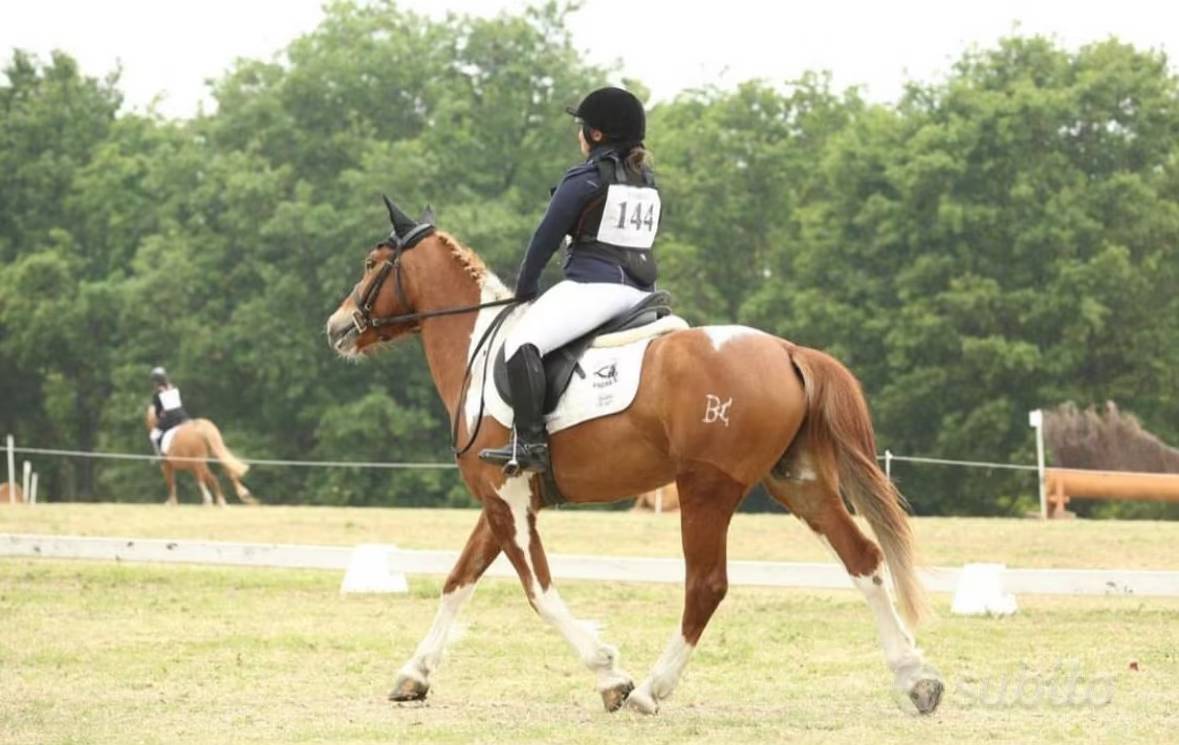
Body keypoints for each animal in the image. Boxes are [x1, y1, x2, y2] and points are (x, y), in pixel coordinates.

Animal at [324, 199, 943, 715]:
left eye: (372, 263)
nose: (337, 328)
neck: (480, 347)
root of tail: (789, 351)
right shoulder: (504, 499)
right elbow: (459, 579)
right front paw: (414, 675)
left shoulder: (508, 501)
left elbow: (538, 591)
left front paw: (610, 675)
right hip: (797, 481)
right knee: (862, 557)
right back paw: (916, 679)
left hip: (706, 489)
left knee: (706, 585)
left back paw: (651, 690)